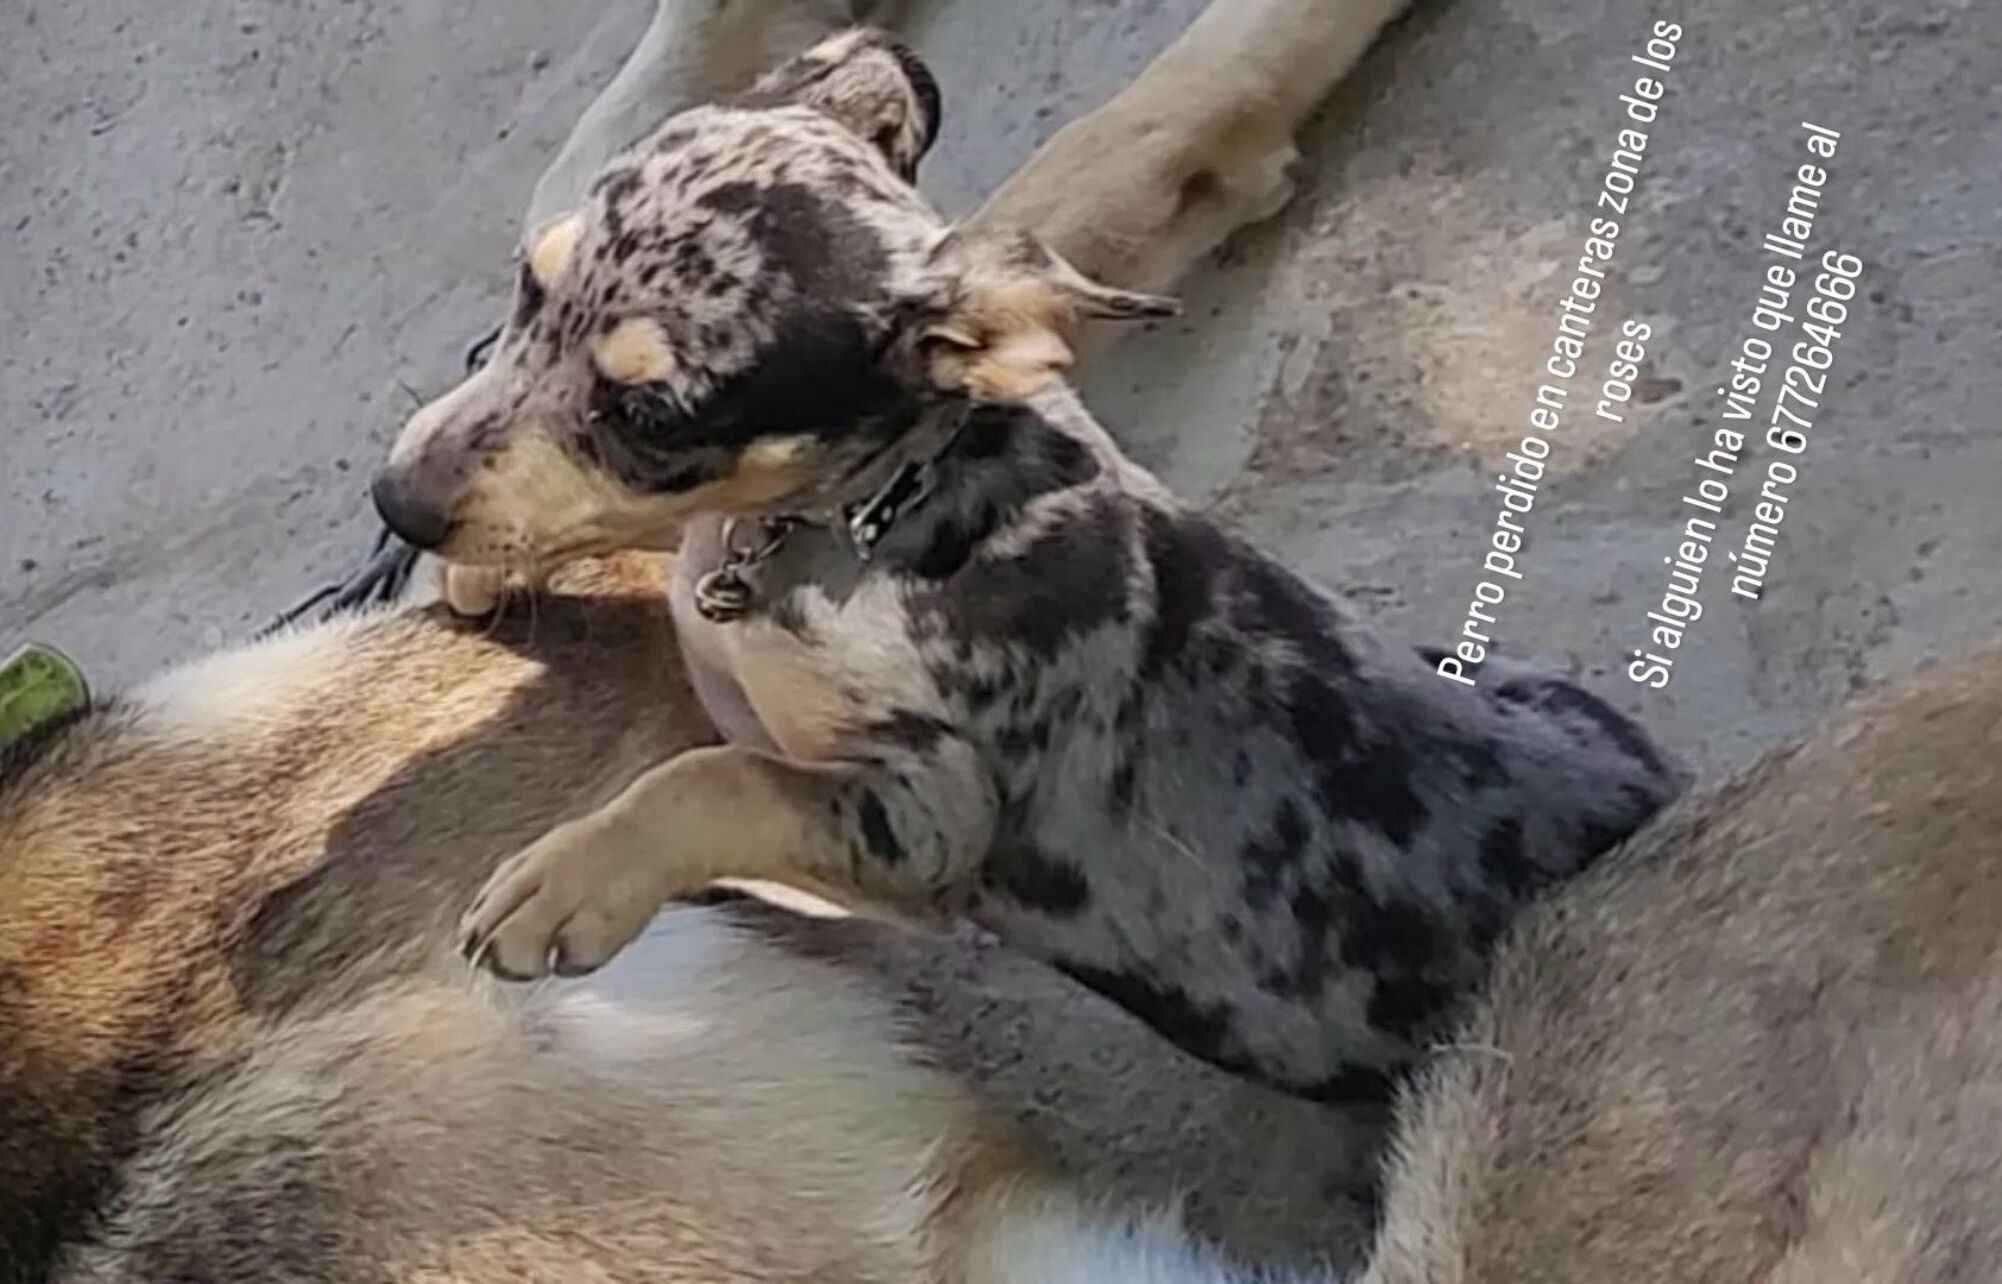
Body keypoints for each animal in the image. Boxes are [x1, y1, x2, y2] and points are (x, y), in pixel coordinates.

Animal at [372, 27, 1673, 1105]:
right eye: (529, 282)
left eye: (648, 413)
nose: (399, 501)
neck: (858, 523)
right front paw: (487, 570)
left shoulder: (926, 814)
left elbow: (713, 777)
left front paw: (566, 879)